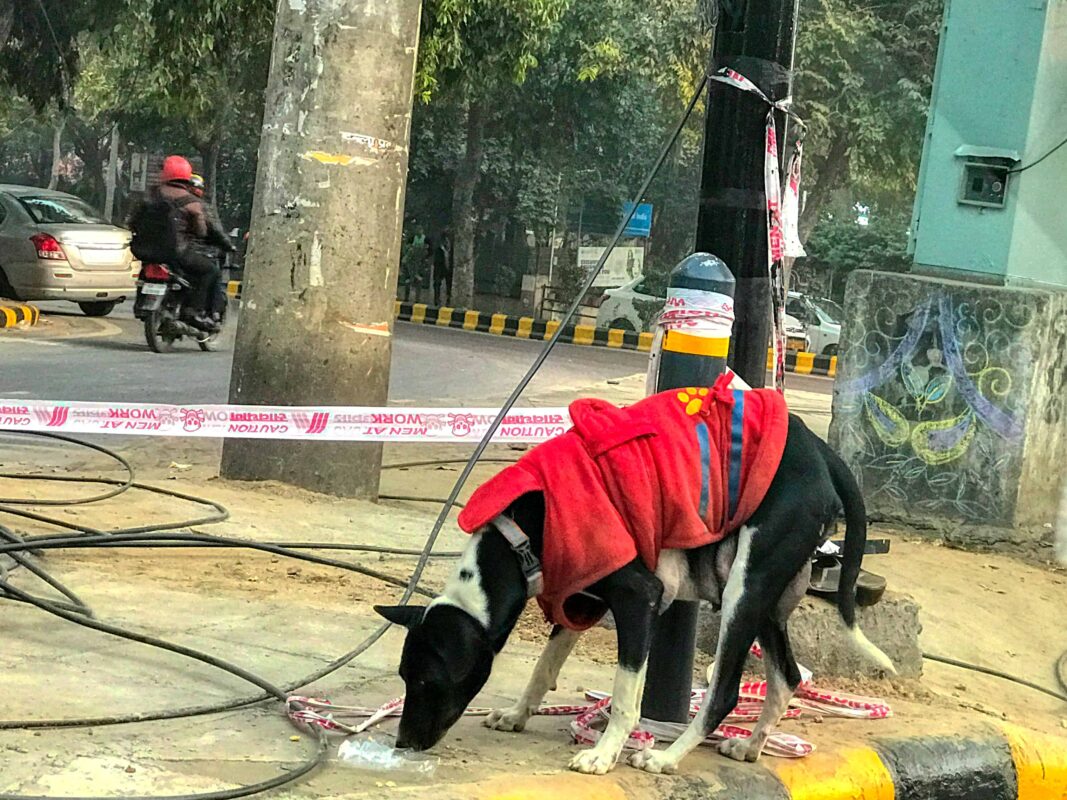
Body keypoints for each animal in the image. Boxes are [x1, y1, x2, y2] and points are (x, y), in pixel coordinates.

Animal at [375, 409, 892, 772]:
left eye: (428, 681)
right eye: (404, 678)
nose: (403, 743)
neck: (521, 532)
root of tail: (822, 452)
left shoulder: (639, 598)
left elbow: (626, 695)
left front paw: (603, 755)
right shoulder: (579, 598)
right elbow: (544, 666)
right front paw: (519, 713)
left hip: (744, 593)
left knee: (725, 691)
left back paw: (666, 757)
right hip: (765, 598)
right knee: (786, 677)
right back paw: (750, 745)